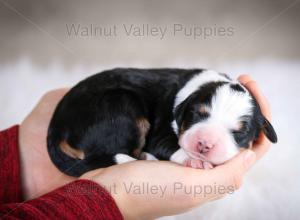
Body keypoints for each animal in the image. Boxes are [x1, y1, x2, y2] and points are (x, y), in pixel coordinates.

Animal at [48, 69, 278, 177]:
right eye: (197, 115)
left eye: (239, 133)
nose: (204, 144)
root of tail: (57, 126)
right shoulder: (160, 133)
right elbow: (170, 145)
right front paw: (193, 160)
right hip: (123, 108)